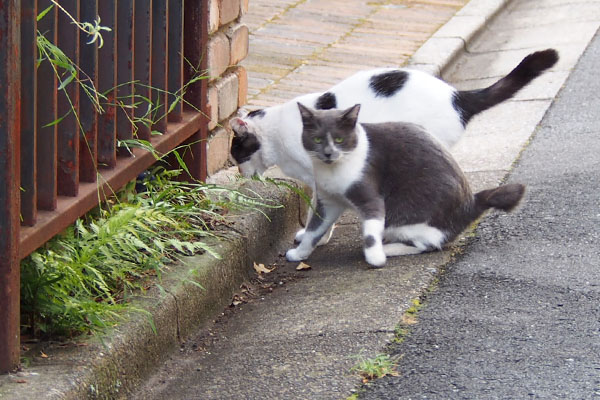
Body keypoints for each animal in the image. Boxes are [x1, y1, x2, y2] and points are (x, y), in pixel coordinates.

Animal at [288, 103, 528, 268]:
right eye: (317, 140)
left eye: (339, 139)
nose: (328, 153)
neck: (333, 170)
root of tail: (471, 203)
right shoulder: (328, 201)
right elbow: (314, 229)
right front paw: (300, 254)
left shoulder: (370, 197)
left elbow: (370, 233)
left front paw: (375, 258)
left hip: (402, 215)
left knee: (426, 245)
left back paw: (386, 248)